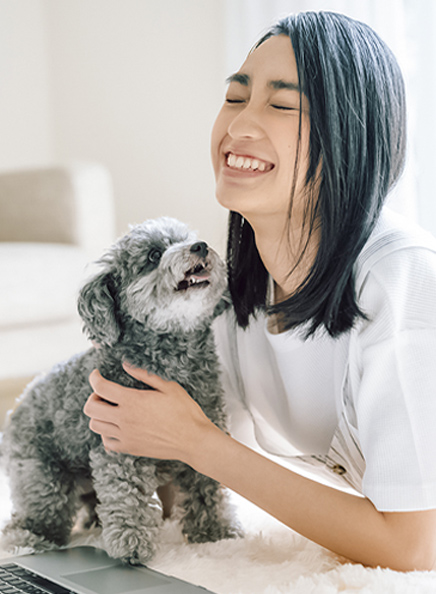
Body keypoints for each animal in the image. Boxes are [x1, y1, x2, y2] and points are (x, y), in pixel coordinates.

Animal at [0, 215, 238, 560]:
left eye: (185, 239)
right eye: (153, 255)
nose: (200, 246)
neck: (173, 358)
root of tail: (15, 408)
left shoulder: (207, 434)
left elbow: (206, 486)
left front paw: (215, 533)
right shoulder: (120, 446)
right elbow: (127, 496)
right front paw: (132, 543)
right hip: (41, 476)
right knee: (30, 517)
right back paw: (30, 541)